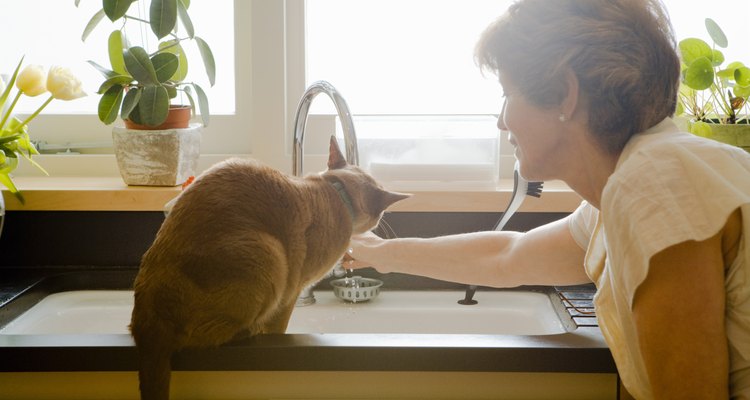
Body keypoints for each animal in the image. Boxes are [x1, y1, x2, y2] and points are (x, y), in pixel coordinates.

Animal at [131, 136, 412, 398]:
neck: (337, 193)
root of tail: (146, 319)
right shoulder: (291, 291)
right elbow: (281, 327)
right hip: (271, 255)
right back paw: (250, 330)